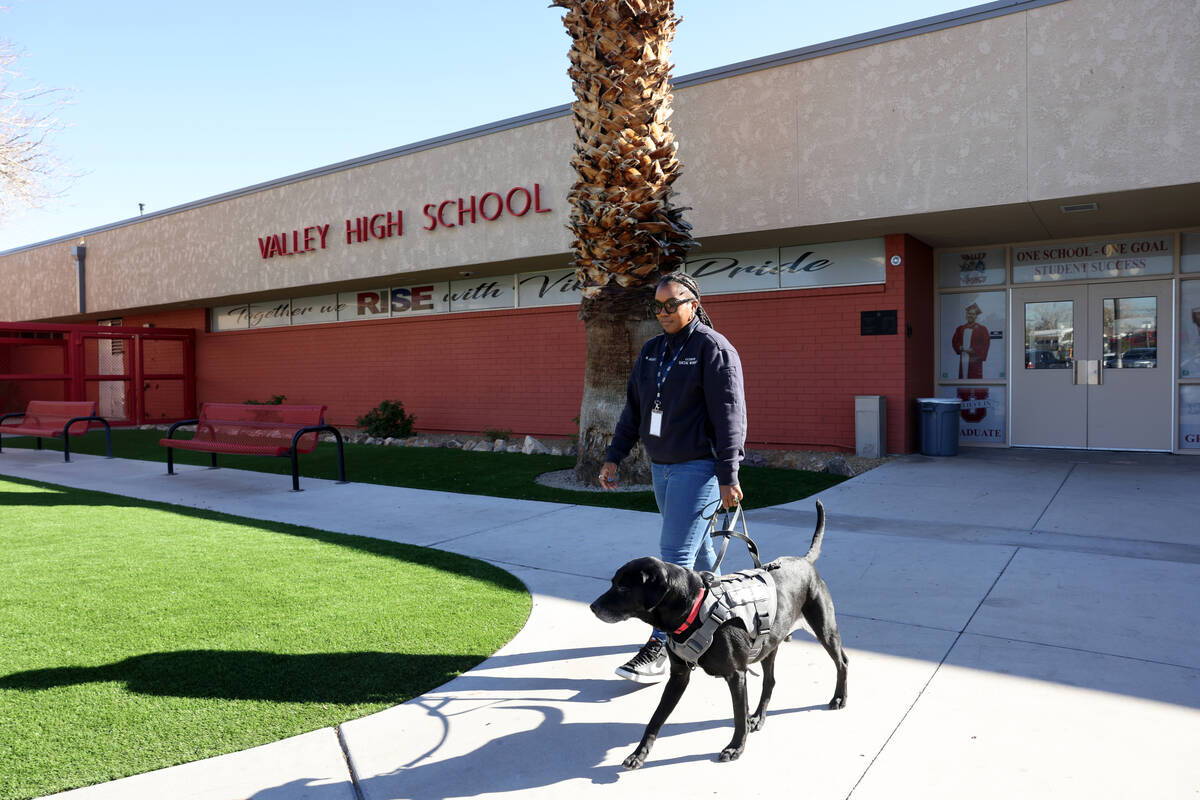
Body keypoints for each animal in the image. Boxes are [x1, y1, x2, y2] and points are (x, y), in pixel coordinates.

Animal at [588, 501, 849, 767]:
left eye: (623, 587)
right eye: (613, 582)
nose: (593, 607)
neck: (693, 609)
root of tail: (805, 562)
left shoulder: (736, 674)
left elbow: (737, 715)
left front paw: (735, 747)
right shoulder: (679, 675)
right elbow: (656, 718)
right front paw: (639, 753)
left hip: (824, 628)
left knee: (842, 661)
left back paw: (839, 698)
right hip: (768, 645)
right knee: (770, 681)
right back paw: (759, 717)